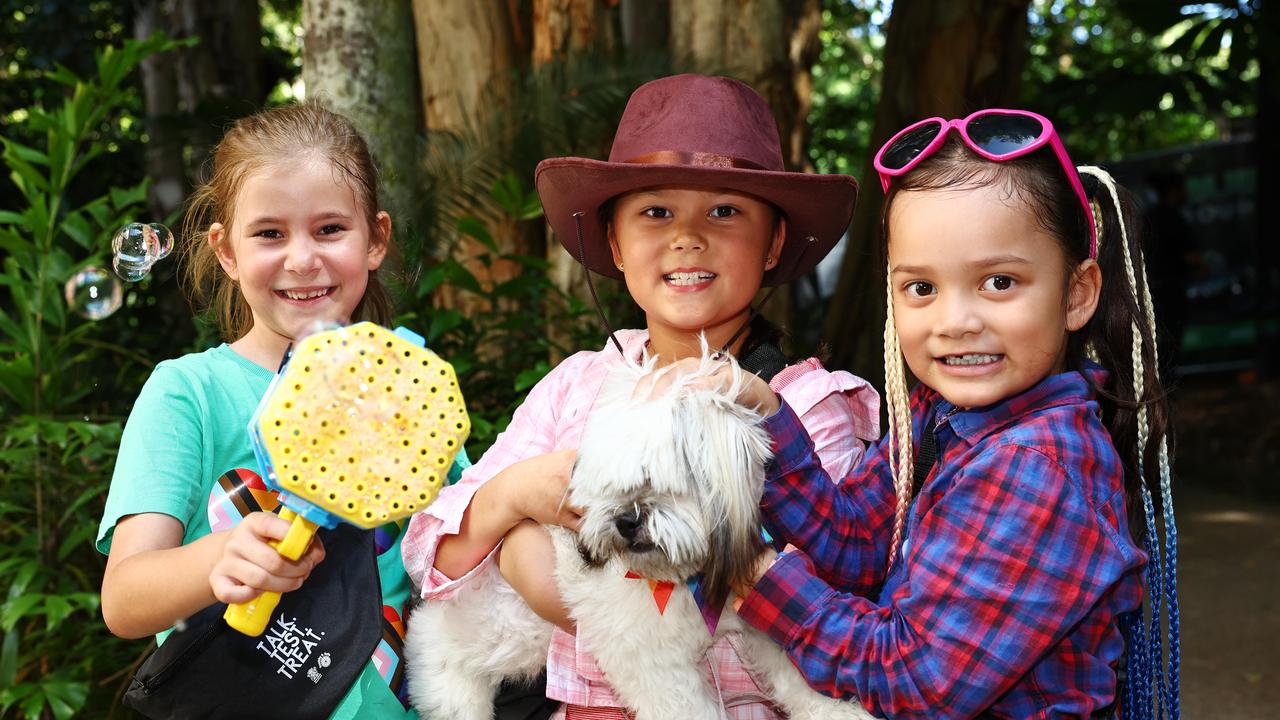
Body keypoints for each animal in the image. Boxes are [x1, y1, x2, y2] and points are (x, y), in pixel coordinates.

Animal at [407, 353, 870, 717]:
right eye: (607, 487)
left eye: (657, 477)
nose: (626, 521)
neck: (686, 579)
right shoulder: (654, 665)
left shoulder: (763, 604)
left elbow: (803, 669)